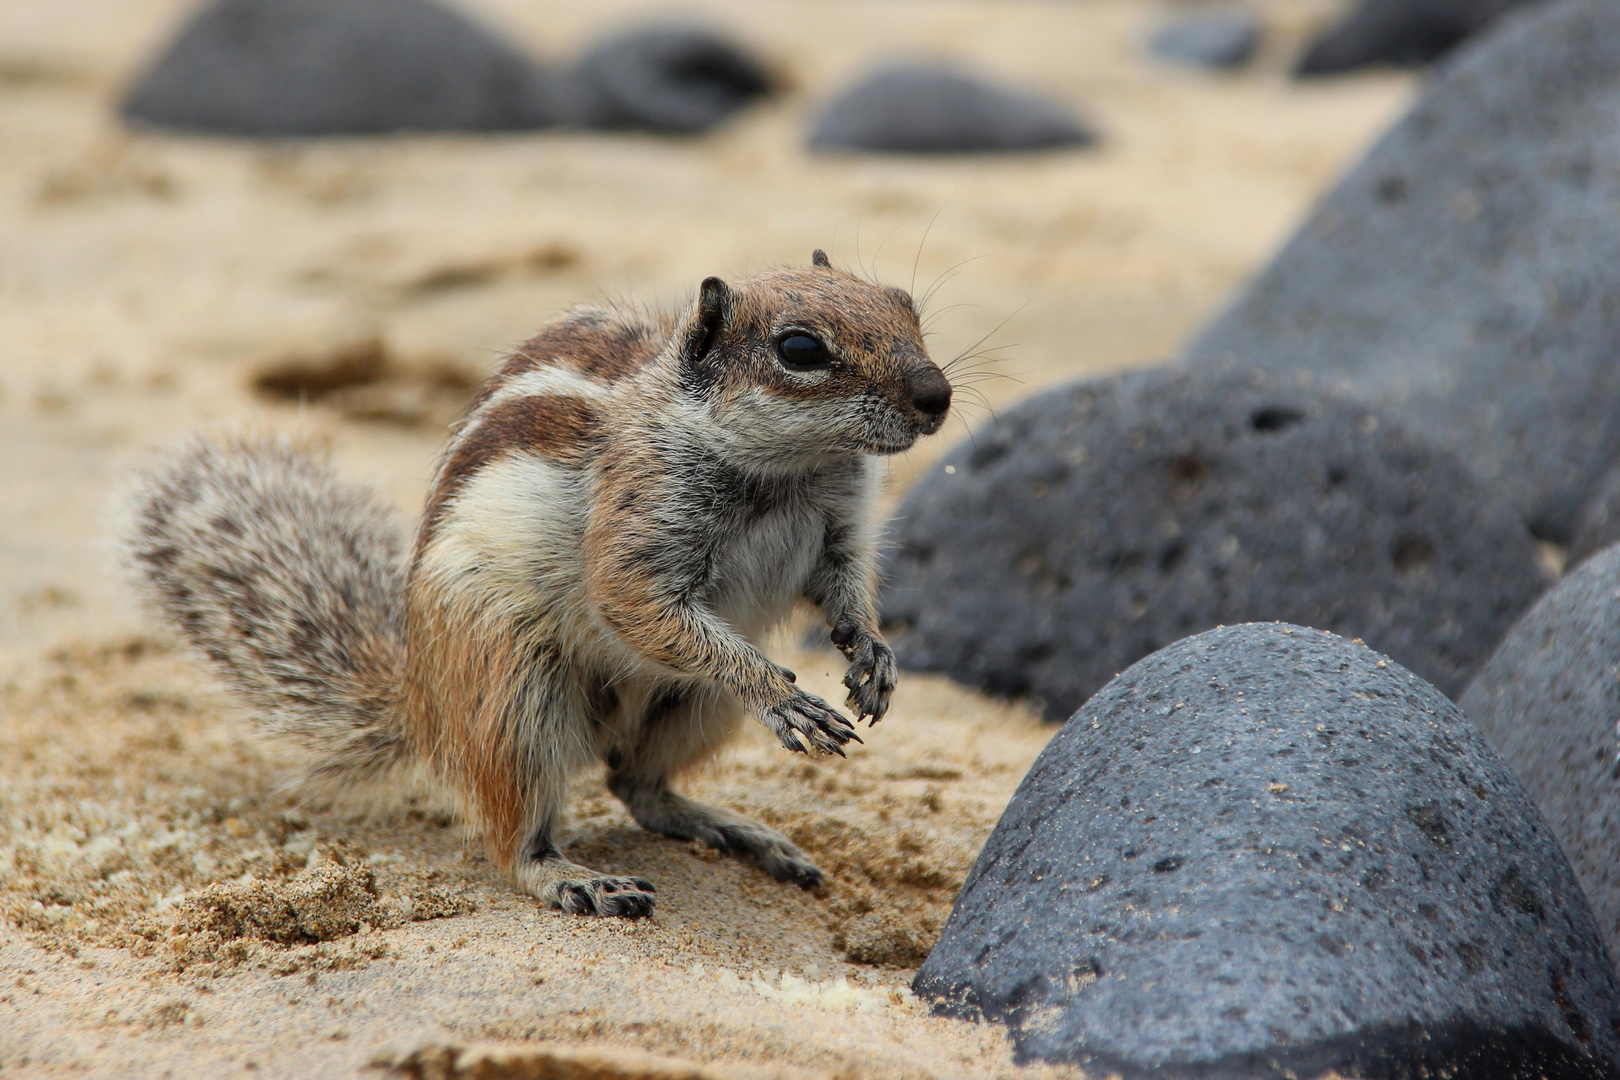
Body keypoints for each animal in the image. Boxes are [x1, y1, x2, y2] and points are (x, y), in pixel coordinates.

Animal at [136, 254, 959, 919]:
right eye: (800, 349)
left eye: (906, 306)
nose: (936, 395)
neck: (791, 469)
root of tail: (423, 702)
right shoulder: (637, 522)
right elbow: (634, 602)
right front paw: (781, 696)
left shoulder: (841, 525)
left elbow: (844, 587)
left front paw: (873, 655)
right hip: (513, 695)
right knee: (517, 837)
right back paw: (576, 879)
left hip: (691, 705)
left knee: (639, 787)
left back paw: (741, 833)